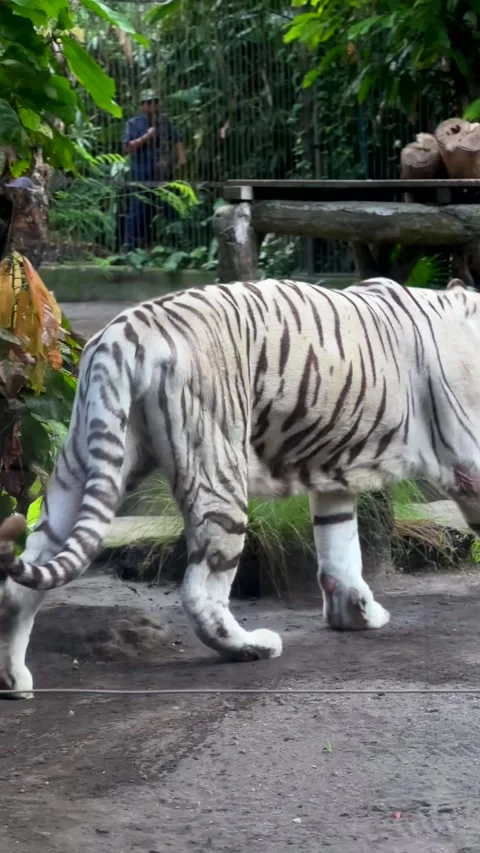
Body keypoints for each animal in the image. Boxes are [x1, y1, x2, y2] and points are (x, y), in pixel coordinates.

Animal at [0, 274, 479, 698]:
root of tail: (121, 334)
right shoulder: (470, 465)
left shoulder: (333, 471)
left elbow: (340, 548)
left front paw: (356, 615)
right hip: (218, 472)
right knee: (201, 590)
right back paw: (252, 646)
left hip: (86, 463)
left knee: (25, 580)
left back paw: (13, 680)